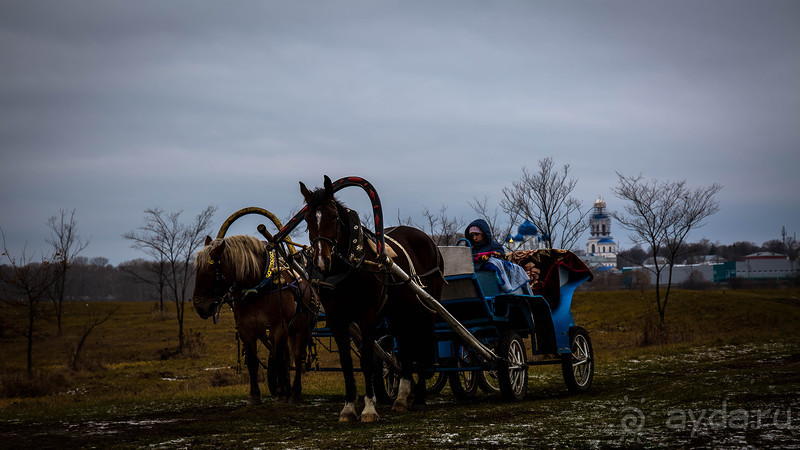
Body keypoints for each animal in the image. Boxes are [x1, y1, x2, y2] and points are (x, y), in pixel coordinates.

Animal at [192, 236, 314, 404]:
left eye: (207, 273)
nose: (200, 307)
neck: (257, 288)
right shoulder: (246, 329)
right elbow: (253, 362)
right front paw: (255, 395)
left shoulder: (279, 327)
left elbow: (278, 360)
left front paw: (281, 394)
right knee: (285, 356)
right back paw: (288, 388)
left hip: (301, 328)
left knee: (297, 356)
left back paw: (294, 392)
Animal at [300, 176, 444, 422]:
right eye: (308, 218)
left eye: (333, 216)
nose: (321, 261)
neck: (349, 265)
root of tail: (429, 241)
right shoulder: (336, 319)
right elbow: (346, 363)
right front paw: (348, 408)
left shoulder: (367, 315)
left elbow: (367, 359)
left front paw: (368, 408)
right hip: (399, 311)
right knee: (405, 346)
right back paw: (402, 398)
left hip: (425, 308)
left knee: (421, 342)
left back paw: (419, 399)